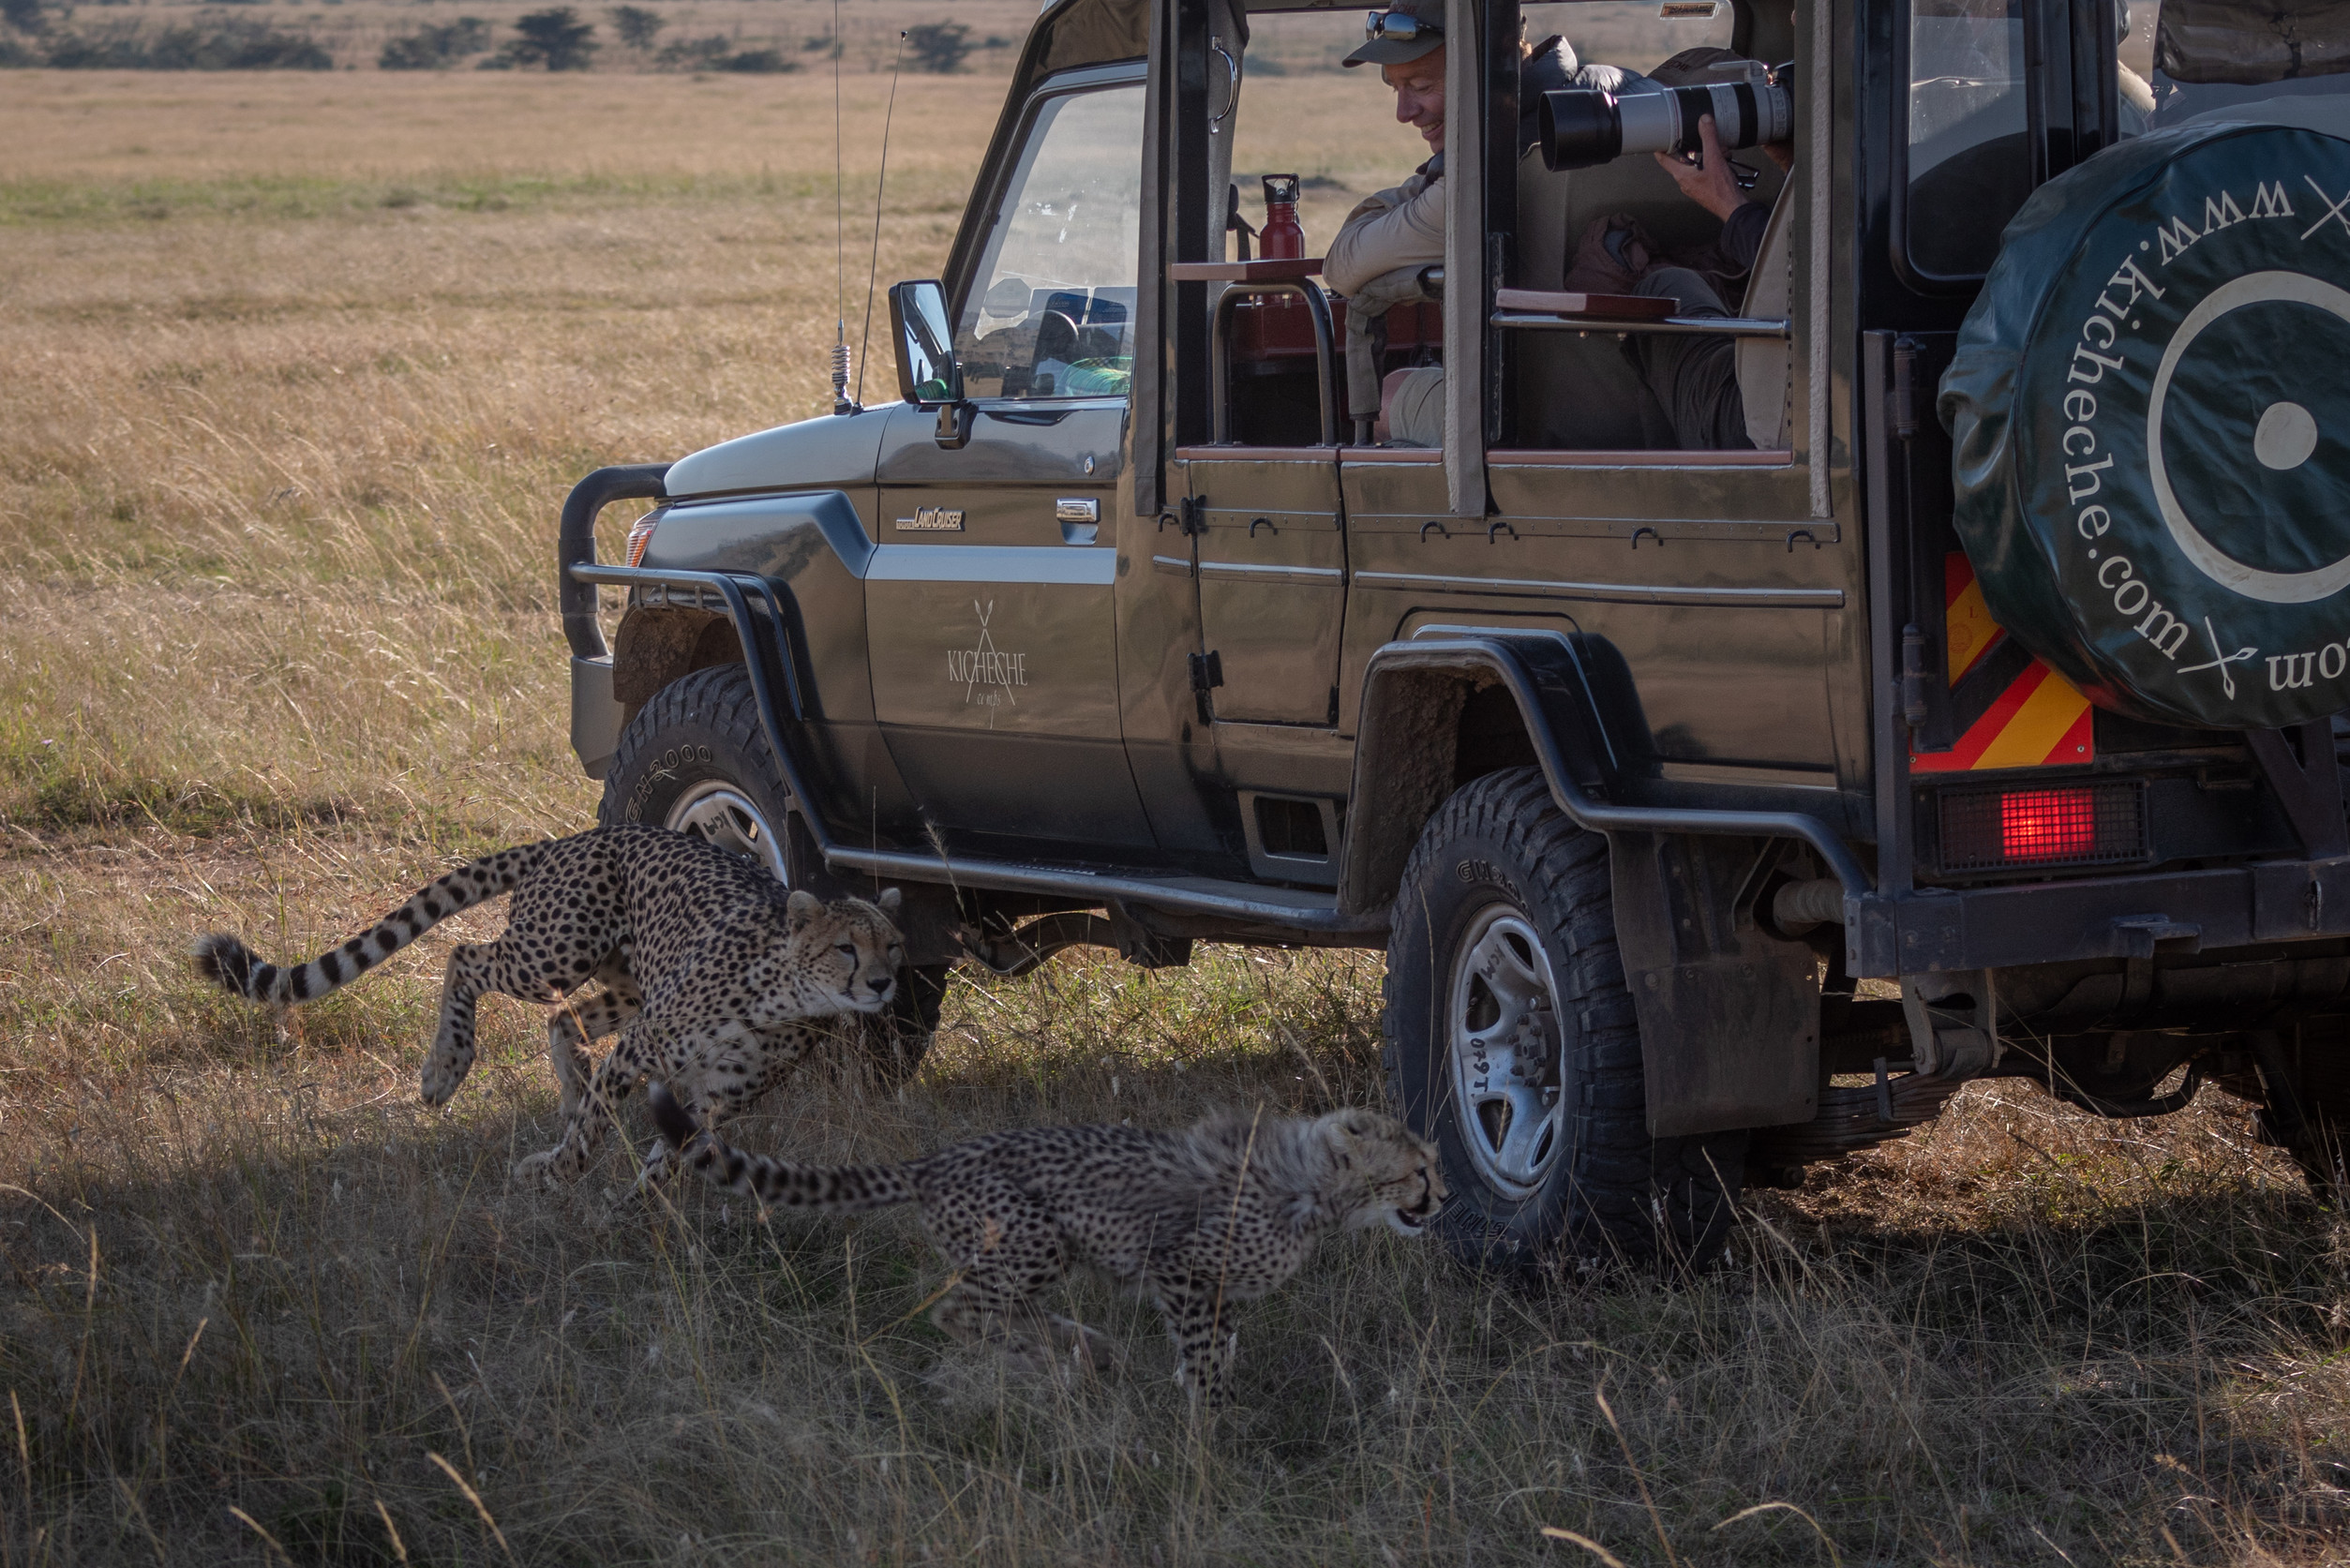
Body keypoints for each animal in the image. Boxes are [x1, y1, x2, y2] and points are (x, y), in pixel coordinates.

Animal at [192, 827, 902, 1185]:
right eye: (845, 947)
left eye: (893, 946)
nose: (882, 984)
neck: (781, 999)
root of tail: (583, 833)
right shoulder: (642, 1048)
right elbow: (594, 1128)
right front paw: (558, 1170)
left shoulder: (711, 1099)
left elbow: (667, 1159)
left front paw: (643, 1211)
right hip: (558, 952)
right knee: (466, 957)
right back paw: (446, 1067)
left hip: (627, 981)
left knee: (562, 1017)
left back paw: (565, 1083)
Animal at [652, 1081, 1438, 1410]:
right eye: (1418, 1169)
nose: (1442, 1197)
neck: (1313, 1186)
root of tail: (935, 1160)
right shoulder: (1184, 1269)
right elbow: (1206, 1356)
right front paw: (1212, 1425)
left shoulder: (1213, 1289)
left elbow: (1218, 1344)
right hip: (1032, 1237)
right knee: (959, 1312)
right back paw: (1052, 1355)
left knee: (1000, 1310)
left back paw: (1080, 1346)